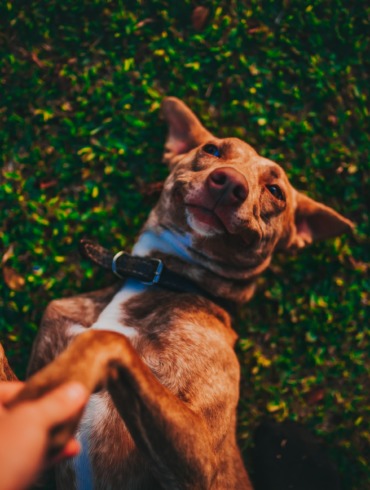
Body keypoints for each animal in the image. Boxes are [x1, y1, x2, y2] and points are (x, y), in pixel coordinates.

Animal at [0, 97, 352, 488]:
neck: (158, 276)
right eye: (212, 150)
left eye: (275, 191)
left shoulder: (198, 457)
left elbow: (108, 341)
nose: (229, 183)